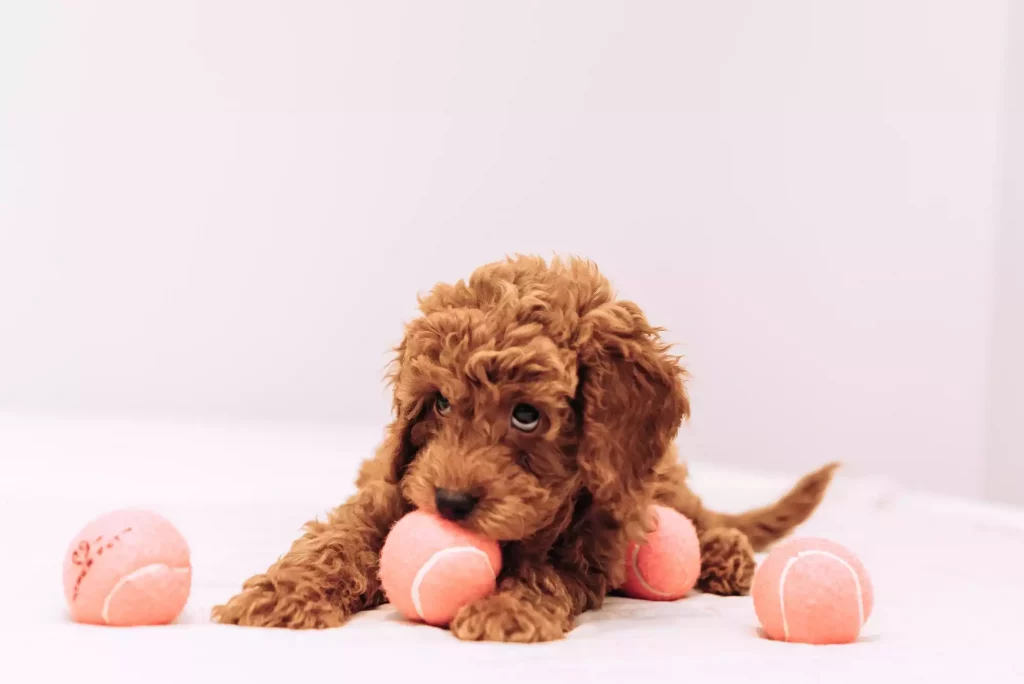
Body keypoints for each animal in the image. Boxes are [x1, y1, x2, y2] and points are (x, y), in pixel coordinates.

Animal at [211, 255, 835, 643]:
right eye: (440, 404)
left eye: (526, 415)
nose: (450, 503)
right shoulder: (391, 487)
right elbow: (338, 539)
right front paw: (282, 595)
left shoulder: (594, 536)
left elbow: (549, 570)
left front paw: (505, 609)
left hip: (655, 483)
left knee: (703, 519)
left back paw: (727, 557)